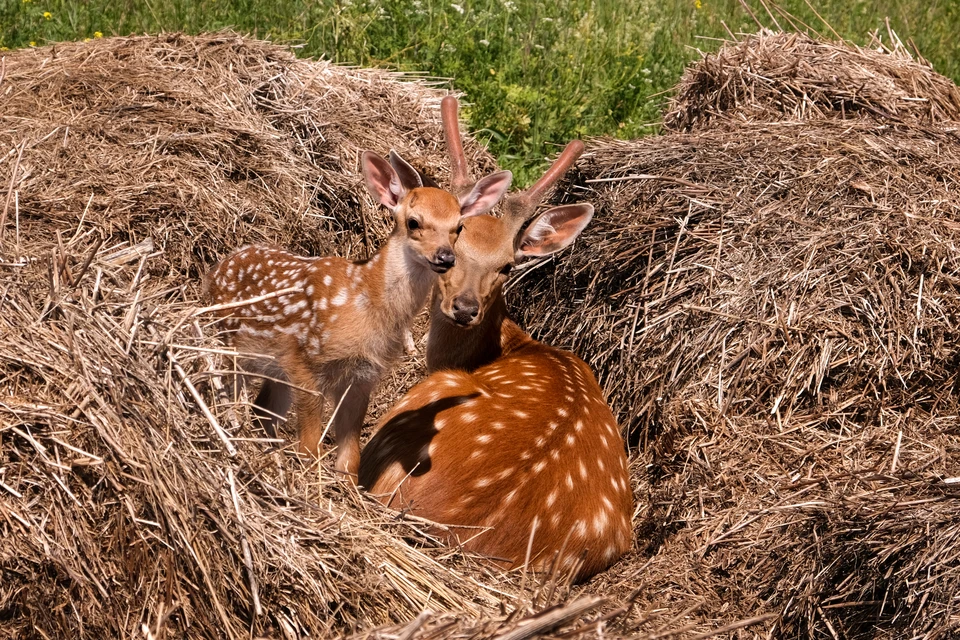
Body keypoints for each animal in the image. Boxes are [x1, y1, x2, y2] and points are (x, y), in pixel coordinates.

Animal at [206, 139, 512, 480]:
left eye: (458, 228)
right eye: (414, 222)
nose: (445, 257)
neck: (366, 302)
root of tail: (217, 268)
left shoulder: (364, 375)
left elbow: (350, 454)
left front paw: (345, 483)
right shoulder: (305, 360)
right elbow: (309, 445)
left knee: (263, 413)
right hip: (229, 343)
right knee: (227, 392)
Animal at [356, 99, 632, 580]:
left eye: (507, 265)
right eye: (451, 254)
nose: (465, 308)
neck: (510, 344)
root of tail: (455, 532)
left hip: (428, 397)